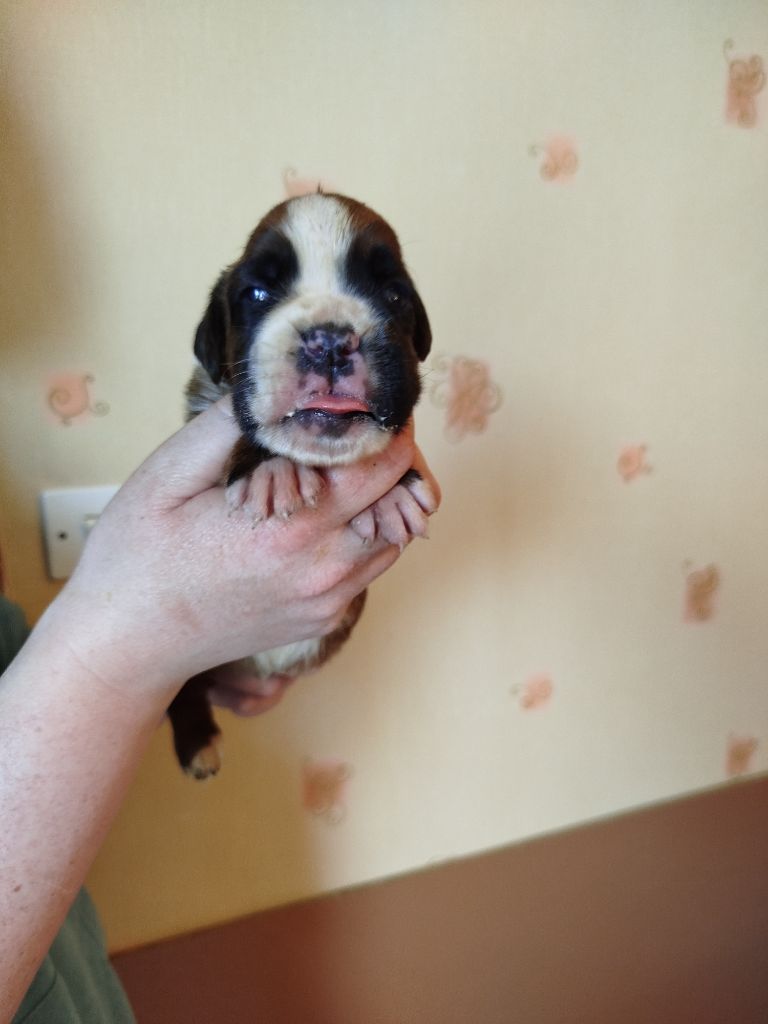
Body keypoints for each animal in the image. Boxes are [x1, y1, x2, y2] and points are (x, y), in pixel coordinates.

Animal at [168, 192, 435, 778]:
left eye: (393, 294)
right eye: (257, 294)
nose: (330, 342)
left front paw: (394, 492)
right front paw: (268, 468)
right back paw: (199, 743)